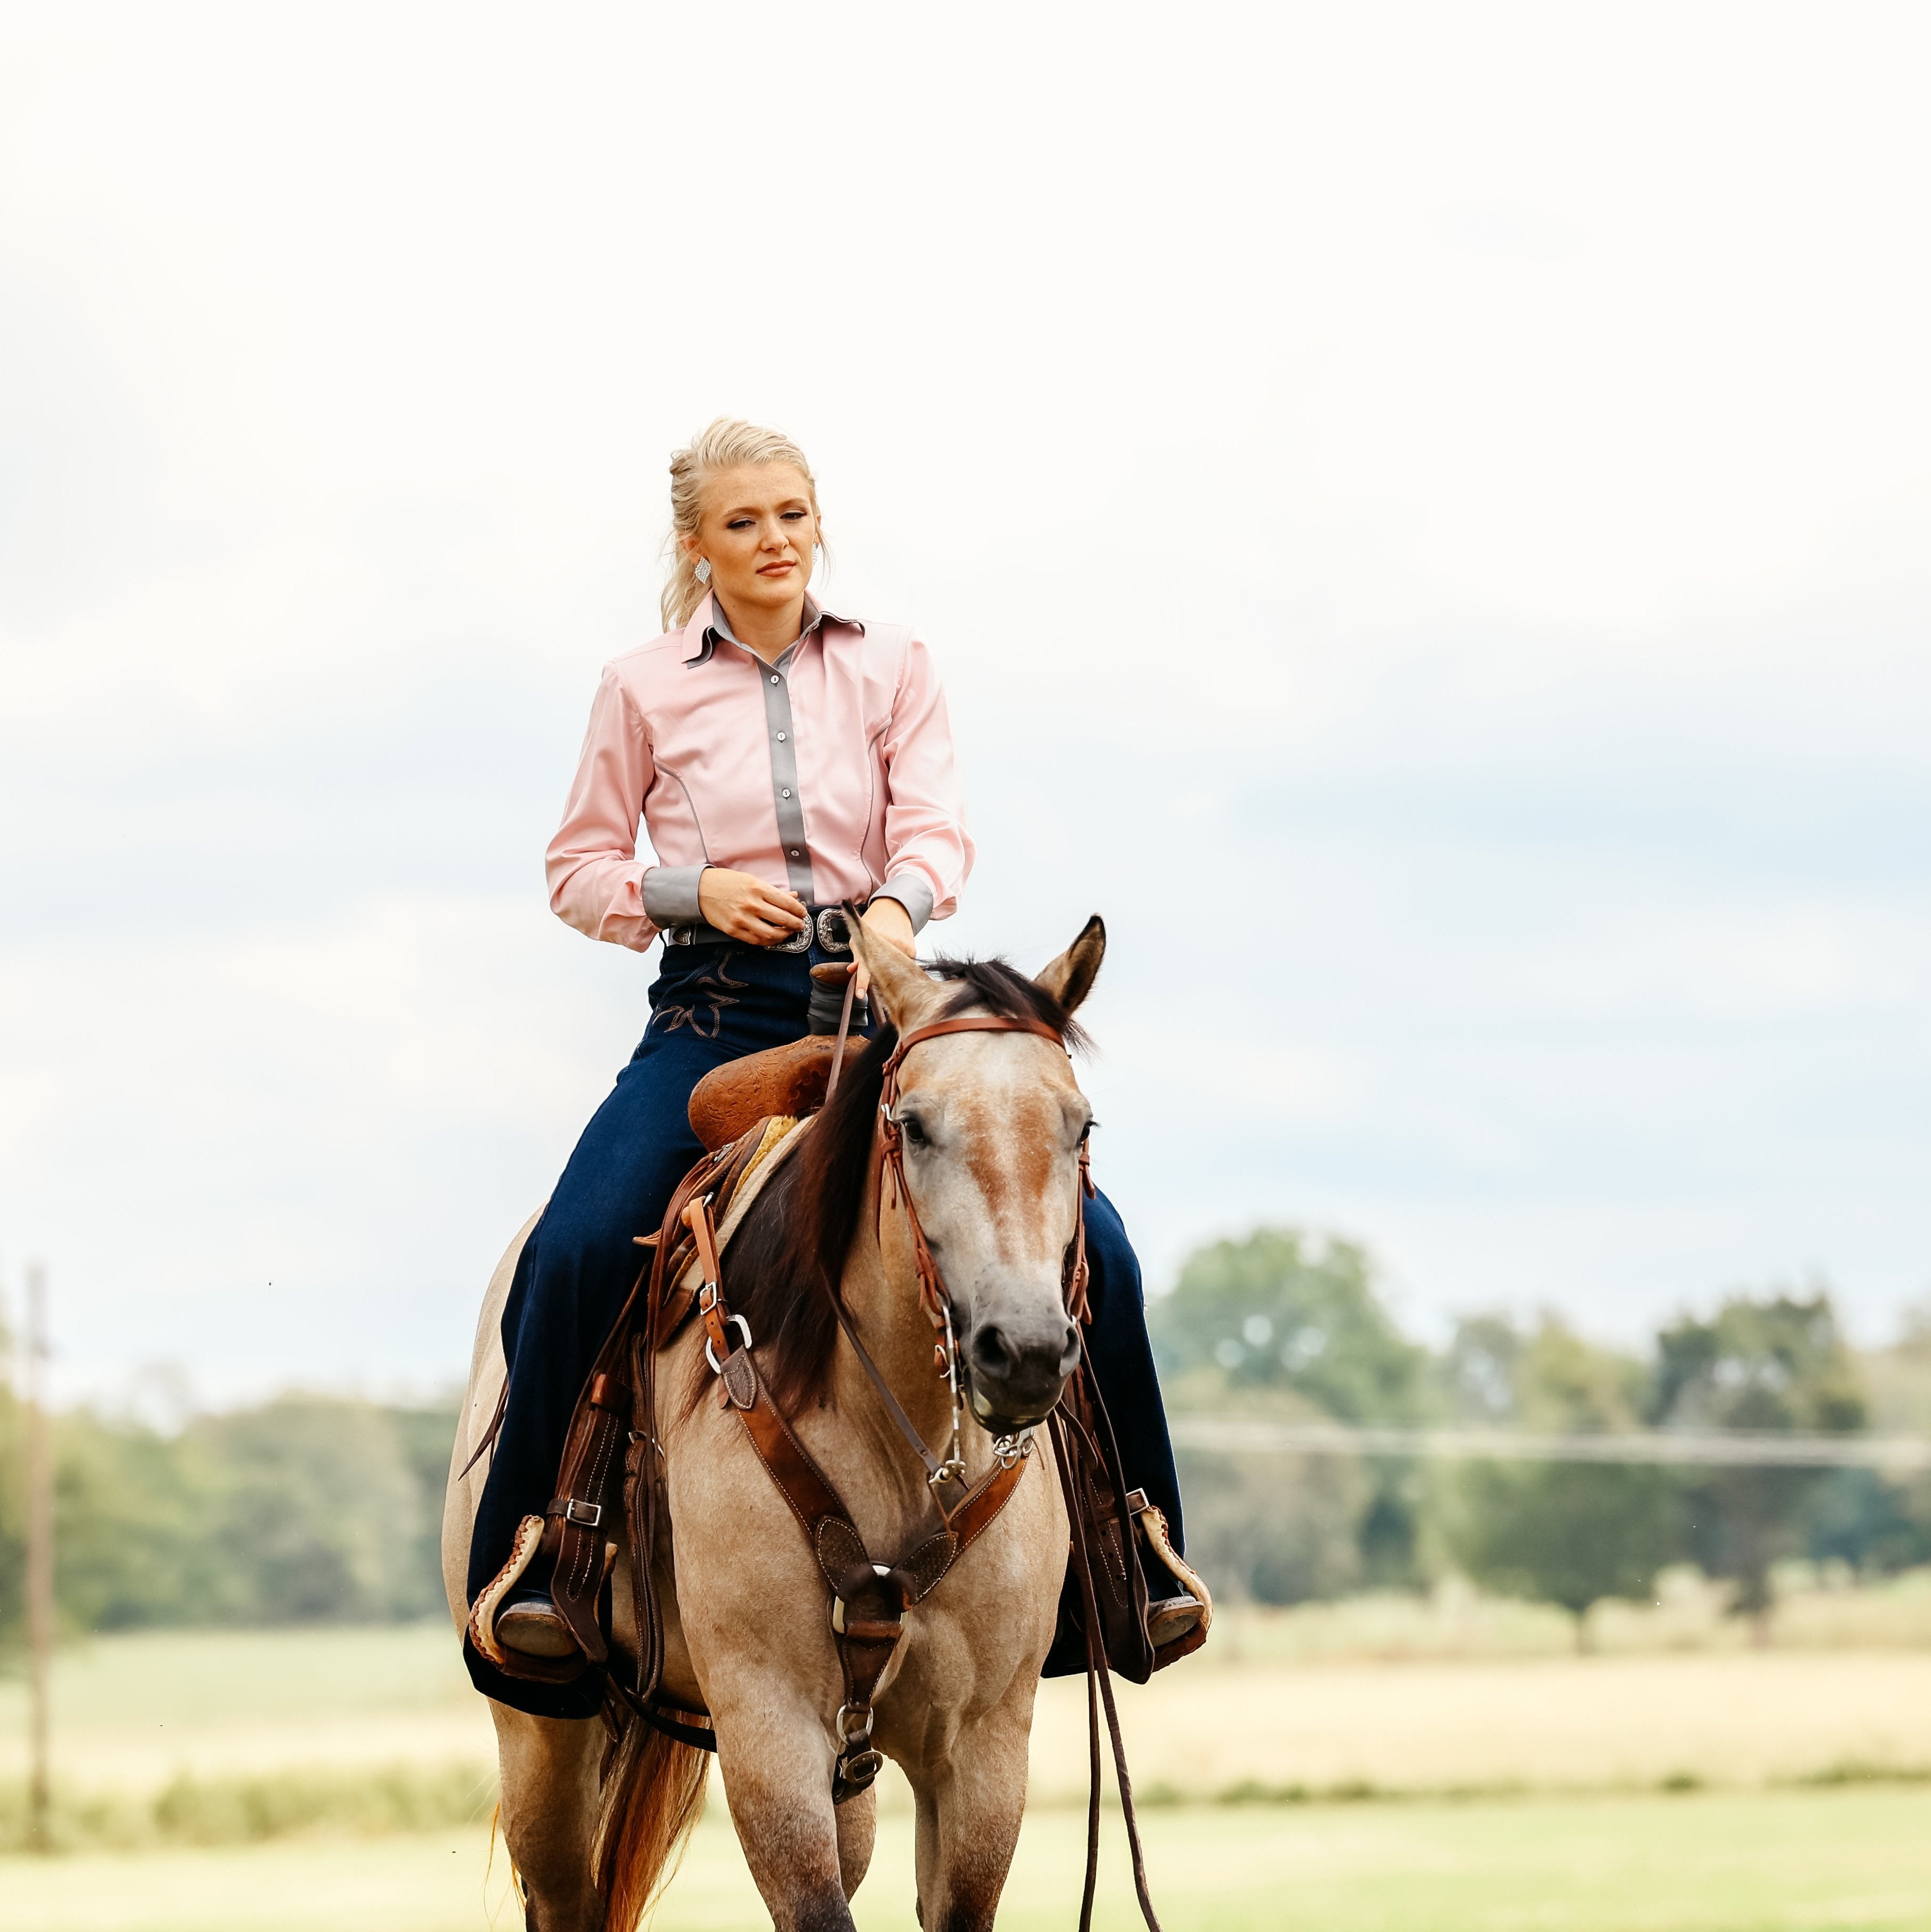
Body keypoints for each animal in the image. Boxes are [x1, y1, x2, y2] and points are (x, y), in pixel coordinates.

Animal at [436, 916, 1104, 1932]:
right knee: (564, 1890)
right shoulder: (770, 1727)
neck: (899, 1444)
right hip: (539, 1733)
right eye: (913, 1125)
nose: (1021, 1350)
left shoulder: (983, 1746)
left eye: (1080, 1126)